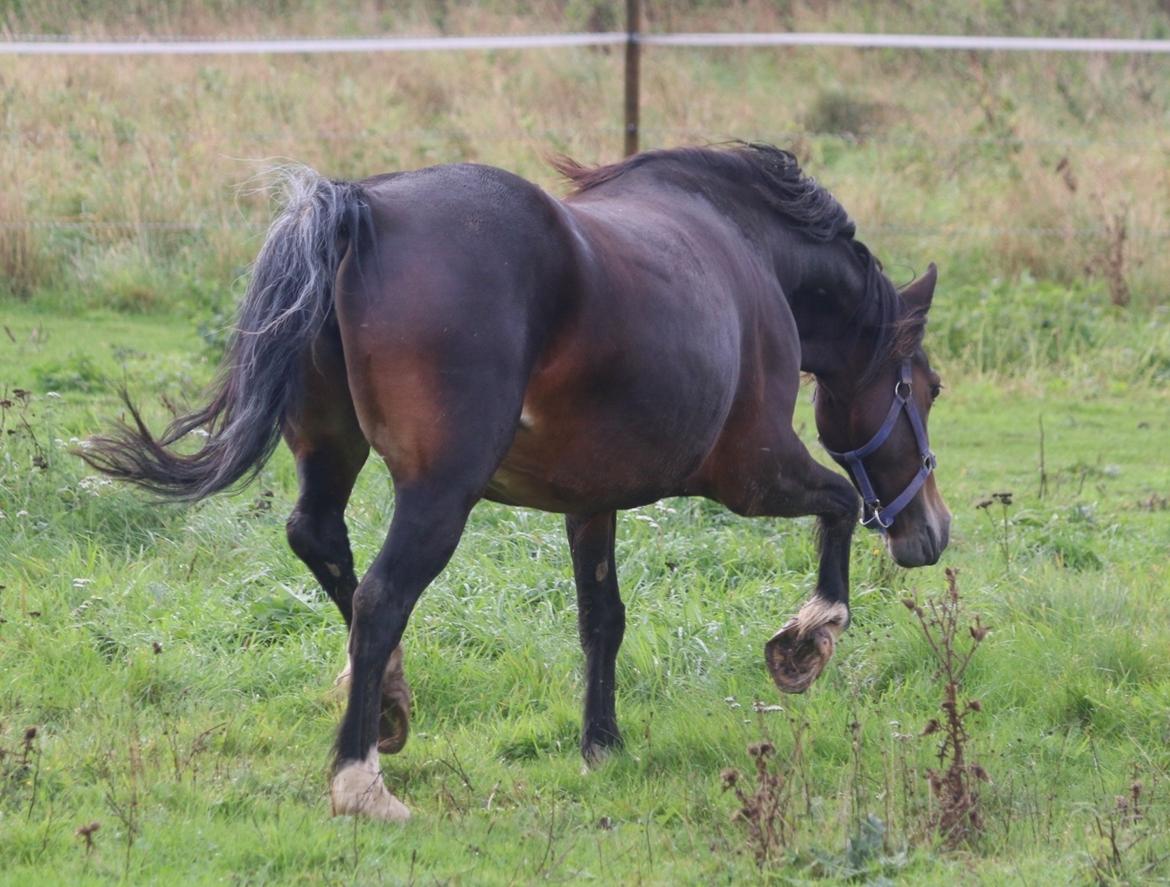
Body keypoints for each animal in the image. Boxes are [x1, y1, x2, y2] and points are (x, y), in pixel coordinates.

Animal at [88, 143, 950, 819]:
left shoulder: (592, 502)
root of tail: (365, 207)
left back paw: (390, 706)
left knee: (321, 542)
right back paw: (360, 779)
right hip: (441, 492)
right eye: (926, 387)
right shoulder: (752, 472)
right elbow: (840, 504)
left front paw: (602, 743)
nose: (932, 532)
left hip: (333, 452)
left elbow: (603, 618)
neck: (750, 256)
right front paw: (806, 641)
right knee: (380, 596)